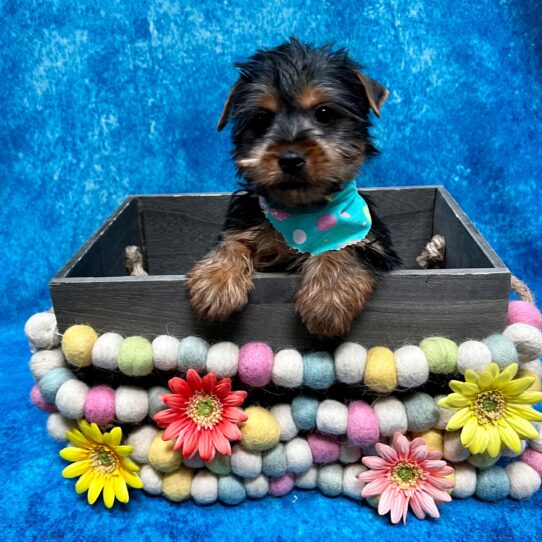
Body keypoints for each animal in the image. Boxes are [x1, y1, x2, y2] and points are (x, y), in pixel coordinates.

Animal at [187, 36, 400, 338]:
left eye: (324, 113)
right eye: (261, 120)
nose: (290, 159)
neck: (301, 211)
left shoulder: (374, 245)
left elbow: (341, 247)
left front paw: (327, 299)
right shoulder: (245, 221)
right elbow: (233, 242)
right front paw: (215, 281)